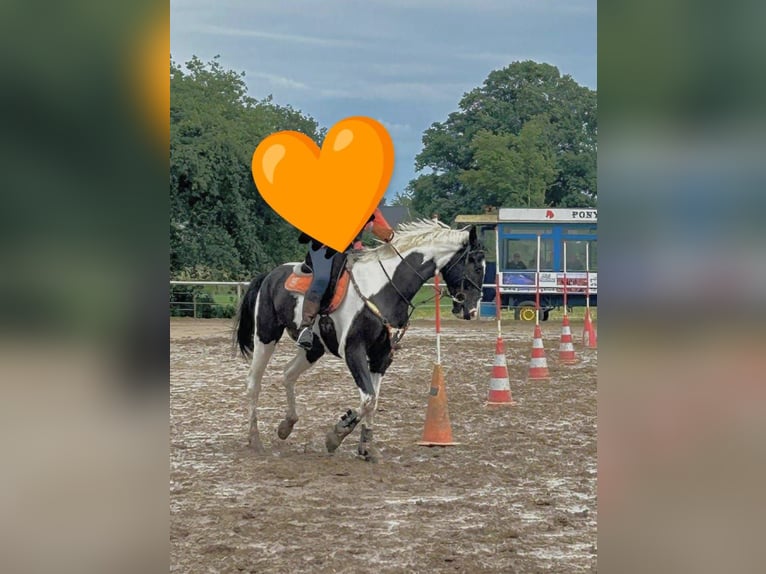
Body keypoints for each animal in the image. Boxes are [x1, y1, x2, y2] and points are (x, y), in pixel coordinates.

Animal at [235, 219, 486, 461]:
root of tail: (270, 275)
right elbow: (367, 399)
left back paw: (286, 425)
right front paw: (337, 434)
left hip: (313, 349)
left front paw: (366, 448)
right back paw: (254, 439)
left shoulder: (382, 356)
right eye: (475, 265)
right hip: (266, 336)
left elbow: (373, 402)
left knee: (288, 374)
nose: (472, 310)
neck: (385, 289)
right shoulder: (353, 351)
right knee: (253, 383)